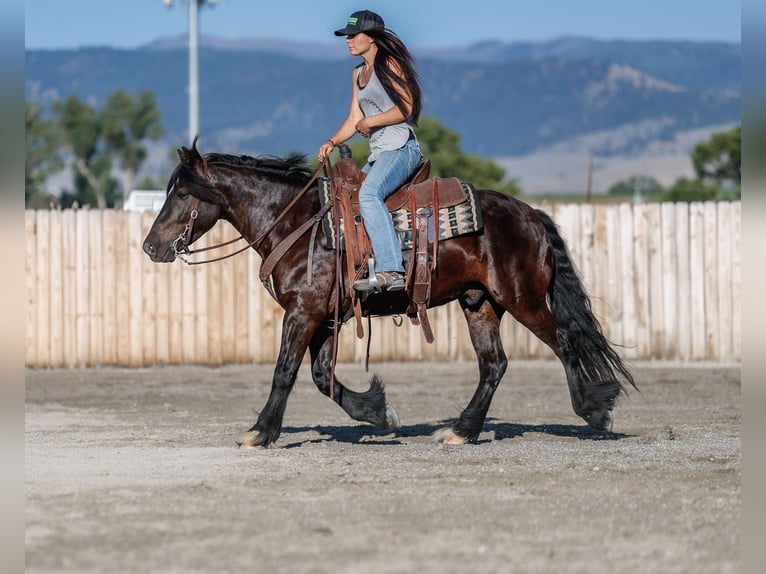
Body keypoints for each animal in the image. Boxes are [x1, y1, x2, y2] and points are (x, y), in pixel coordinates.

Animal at [143, 139, 635, 448]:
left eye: (182, 193)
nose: (151, 246)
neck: (296, 223)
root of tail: (531, 214)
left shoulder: (302, 313)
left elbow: (285, 372)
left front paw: (260, 432)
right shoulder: (325, 317)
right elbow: (321, 377)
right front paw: (380, 413)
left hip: (524, 301)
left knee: (565, 344)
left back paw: (595, 412)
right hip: (480, 303)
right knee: (494, 365)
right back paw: (462, 430)